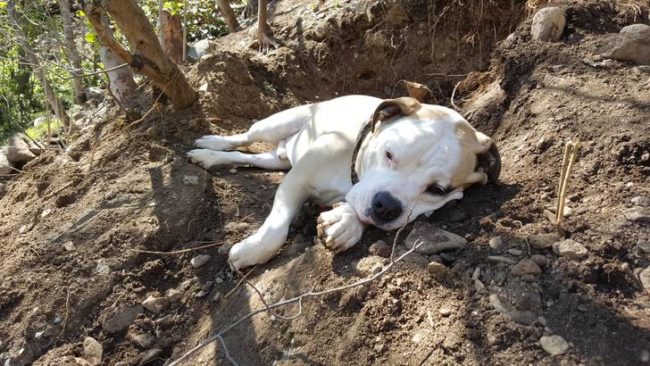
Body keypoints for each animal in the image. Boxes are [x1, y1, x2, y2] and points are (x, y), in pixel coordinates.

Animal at [187, 95, 502, 268]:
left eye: (438, 190)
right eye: (389, 153)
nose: (386, 206)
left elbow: (354, 209)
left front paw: (345, 223)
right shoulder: (296, 181)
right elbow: (276, 228)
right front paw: (251, 251)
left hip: (278, 160)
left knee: (253, 158)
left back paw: (211, 158)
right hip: (275, 124)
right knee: (245, 137)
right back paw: (211, 145)